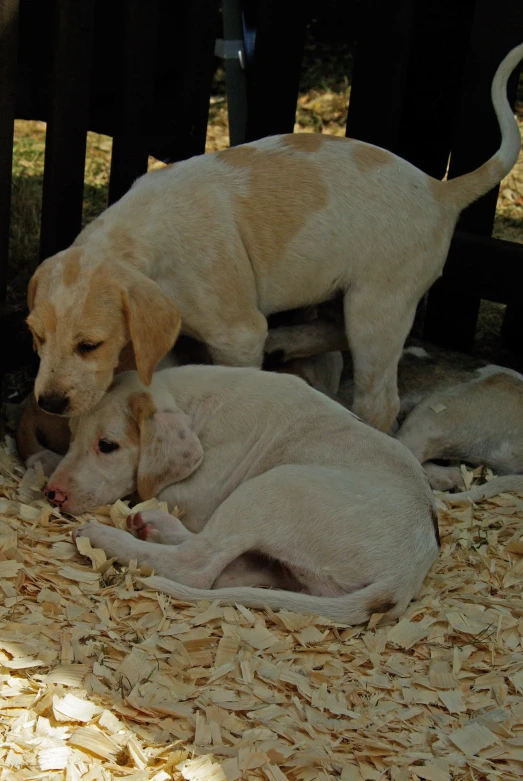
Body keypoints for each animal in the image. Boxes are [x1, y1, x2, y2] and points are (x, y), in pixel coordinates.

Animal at [45, 362, 440, 624]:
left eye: (107, 446)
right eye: (72, 434)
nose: (52, 494)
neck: (193, 405)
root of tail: (403, 577)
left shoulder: (200, 495)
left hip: (271, 488)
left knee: (197, 563)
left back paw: (105, 535)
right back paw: (150, 524)